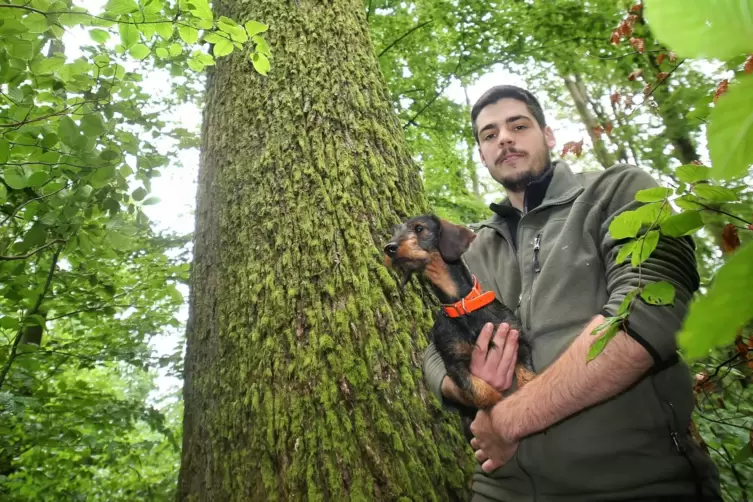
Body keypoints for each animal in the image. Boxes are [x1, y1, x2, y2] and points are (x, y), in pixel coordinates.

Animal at [382, 214, 536, 438]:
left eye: (419, 228)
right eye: (394, 232)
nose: (389, 248)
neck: (461, 307)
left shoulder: (519, 340)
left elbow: (528, 376)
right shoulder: (454, 364)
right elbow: (479, 391)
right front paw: (497, 405)